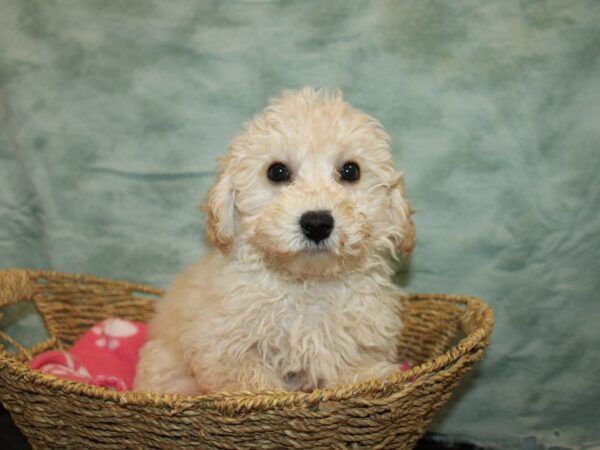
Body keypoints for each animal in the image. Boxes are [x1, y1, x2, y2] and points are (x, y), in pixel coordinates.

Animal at [134, 87, 414, 394]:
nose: (317, 224)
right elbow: (252, 382)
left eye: (351, 171)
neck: (307, 285)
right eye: (277, 172)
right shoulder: (226, 348)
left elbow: (352, 367)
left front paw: (371, 377)